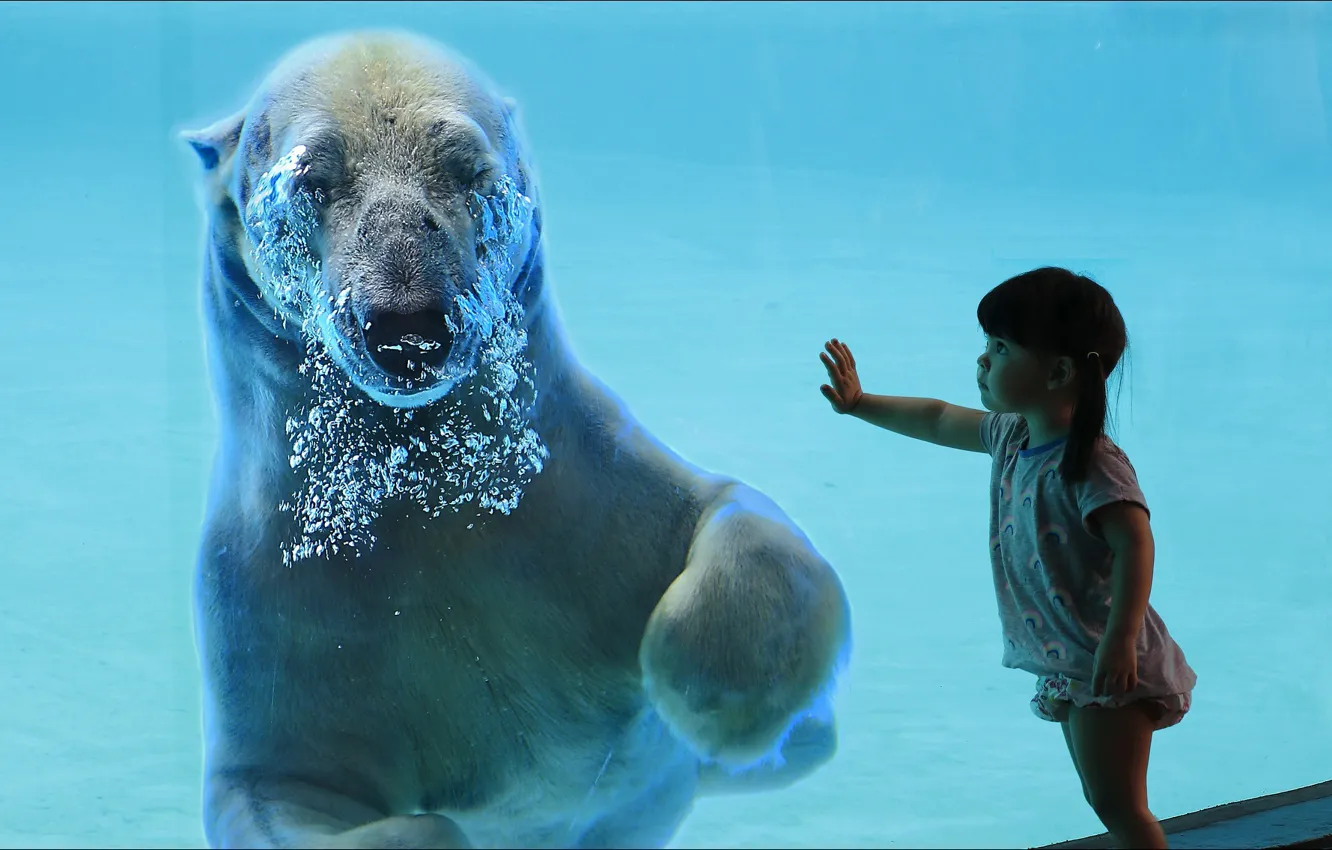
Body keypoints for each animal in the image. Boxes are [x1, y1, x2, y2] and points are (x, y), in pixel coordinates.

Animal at [182, 30, 851, 850]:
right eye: (311, 180)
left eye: (469, 170)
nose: (409, 322)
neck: (429, 492)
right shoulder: (274, 611)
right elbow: (279, 788)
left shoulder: (586, 489)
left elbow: (740, 518)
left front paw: (720, 706)